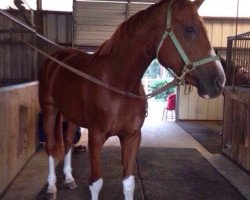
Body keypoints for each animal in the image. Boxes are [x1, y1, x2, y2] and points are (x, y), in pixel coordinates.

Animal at [39, 0, 227, 199]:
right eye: (190, 29)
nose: (219, 81)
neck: (118, 86)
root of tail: (55, 58)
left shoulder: (132, 137)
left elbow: (128, 184)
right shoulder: (95, 137)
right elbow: (96, 183)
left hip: (72, 115)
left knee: (67, 142)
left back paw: (69, 179)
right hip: (49, 110)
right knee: (51, 146)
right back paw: (51, 187)